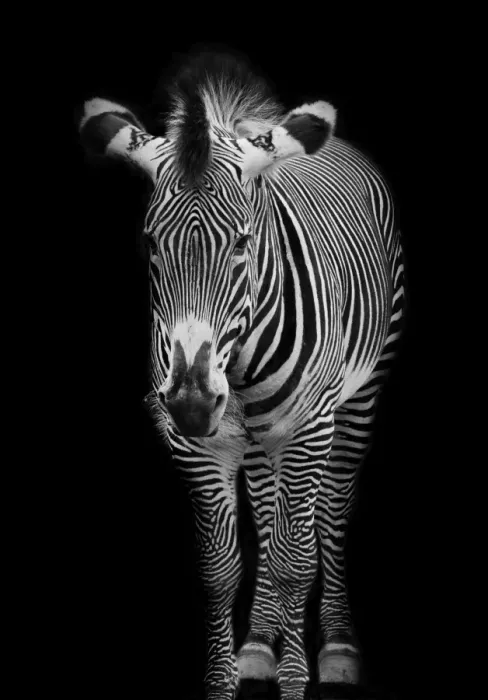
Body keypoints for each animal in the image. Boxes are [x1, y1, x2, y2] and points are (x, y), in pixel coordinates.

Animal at [79, 51, 405, 700]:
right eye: (150, 244)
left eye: (242, 244)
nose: (192, 402)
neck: (241, 363)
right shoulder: (196, 447)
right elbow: (220, 568)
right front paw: (225, 678)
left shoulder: (309, 429)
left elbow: (294, 561)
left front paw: (297, 682)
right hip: (254, 438)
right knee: (266, 503)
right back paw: (257, 644)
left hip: (361, 395)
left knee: (331, 511)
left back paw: (336, 647)